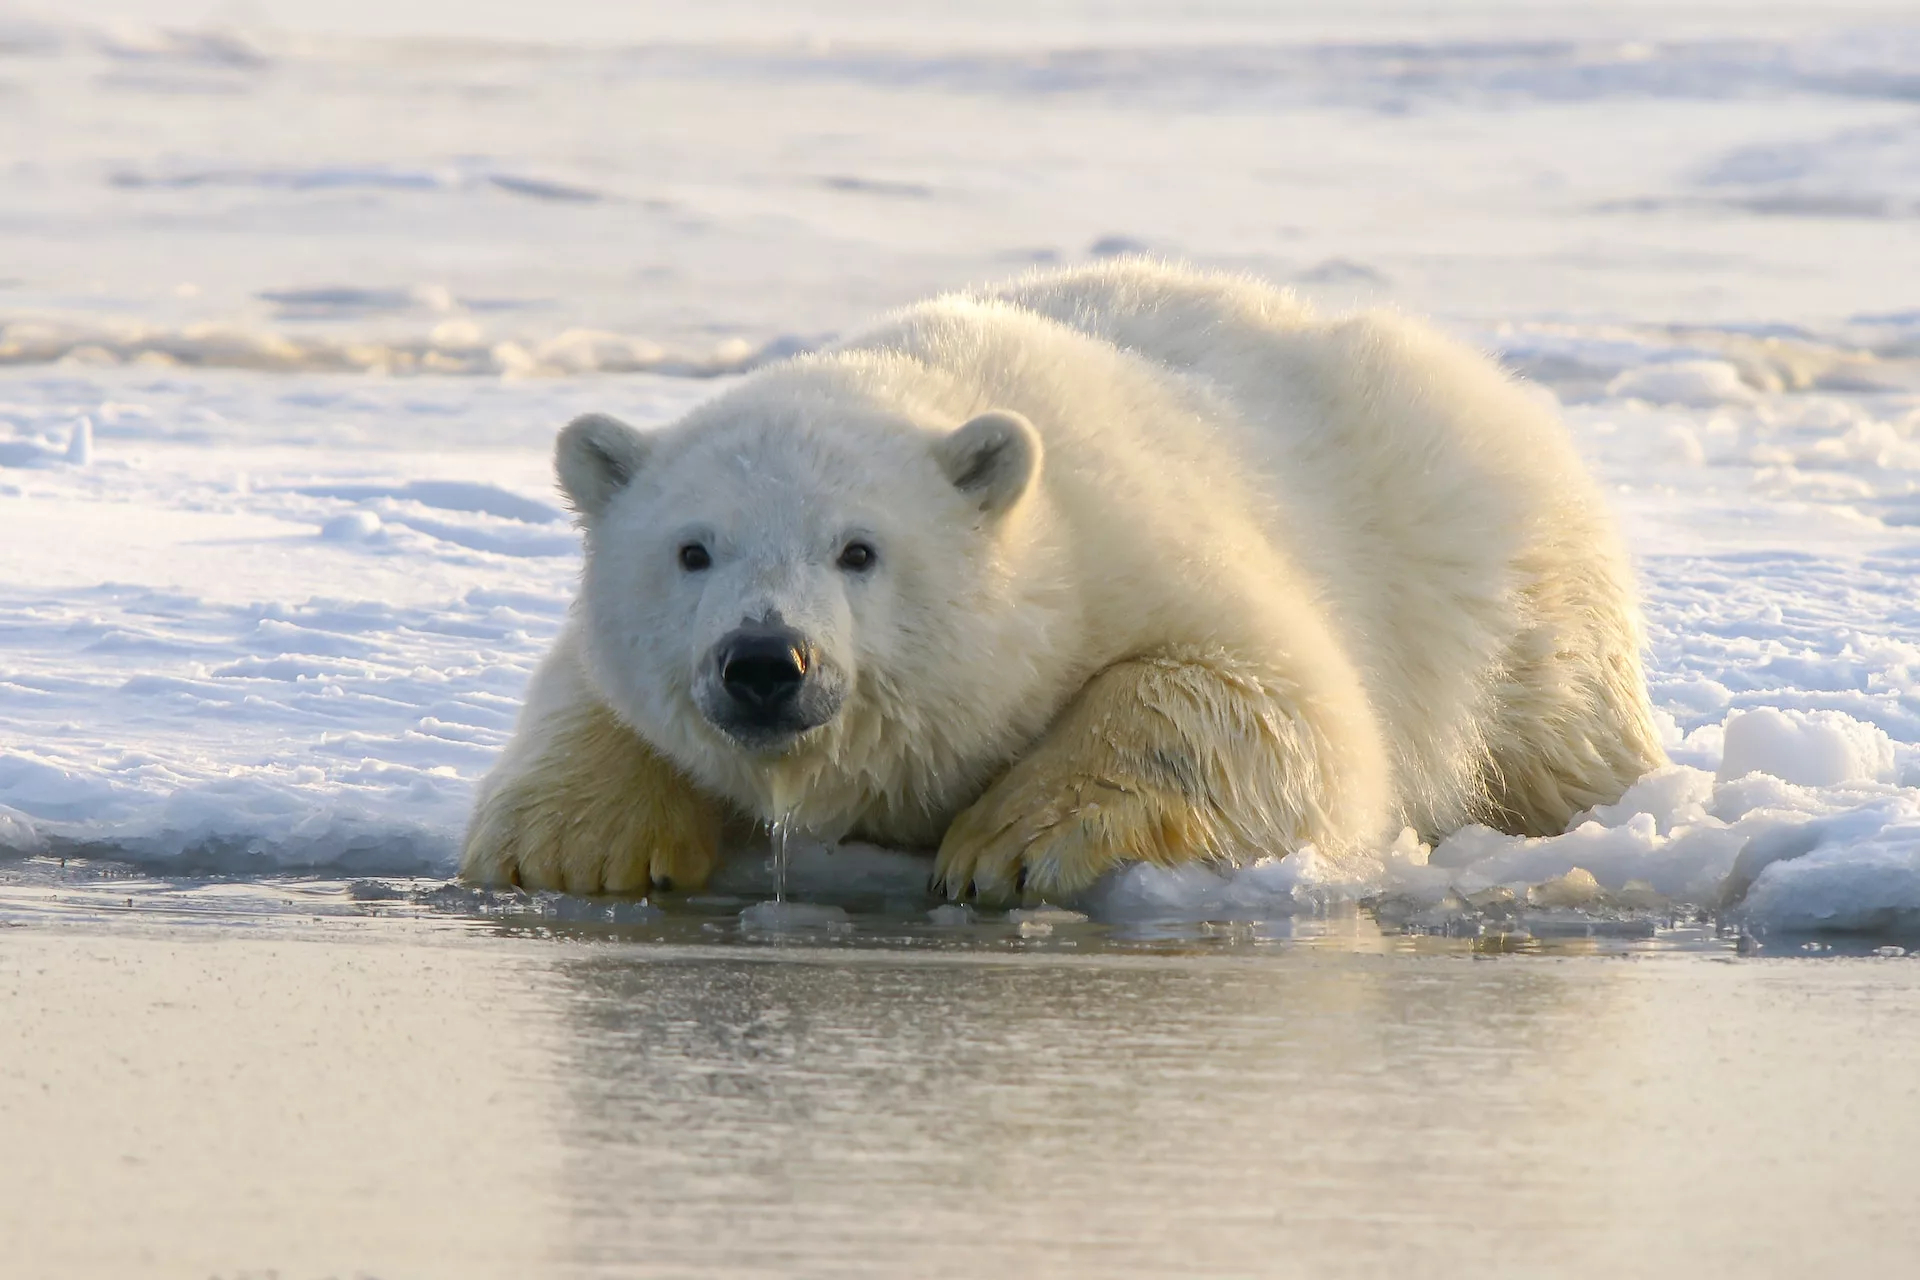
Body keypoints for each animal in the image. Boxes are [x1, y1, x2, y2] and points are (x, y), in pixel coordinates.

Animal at [464, 260, 1666, 901]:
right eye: (692, 549)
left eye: (859, 549)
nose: (766, 661)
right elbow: (584, 689)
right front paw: (573, 846)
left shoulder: (1139, 545)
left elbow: (1274, 704)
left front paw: (1009, 844)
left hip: (1497, 575)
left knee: (1558, 726)